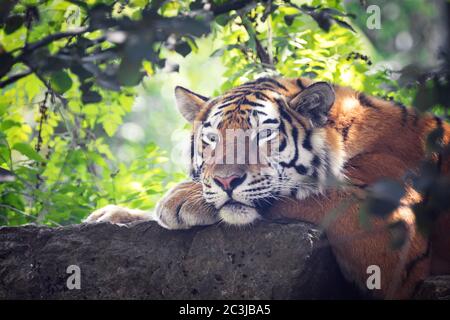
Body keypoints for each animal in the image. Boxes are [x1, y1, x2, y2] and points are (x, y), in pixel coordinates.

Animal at [84, 76, 450, 298]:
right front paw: (111, 215)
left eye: (263, 134)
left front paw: (182, 198)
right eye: (211, 138)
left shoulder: (393, 228)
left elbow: (311, 194)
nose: (225, 180)